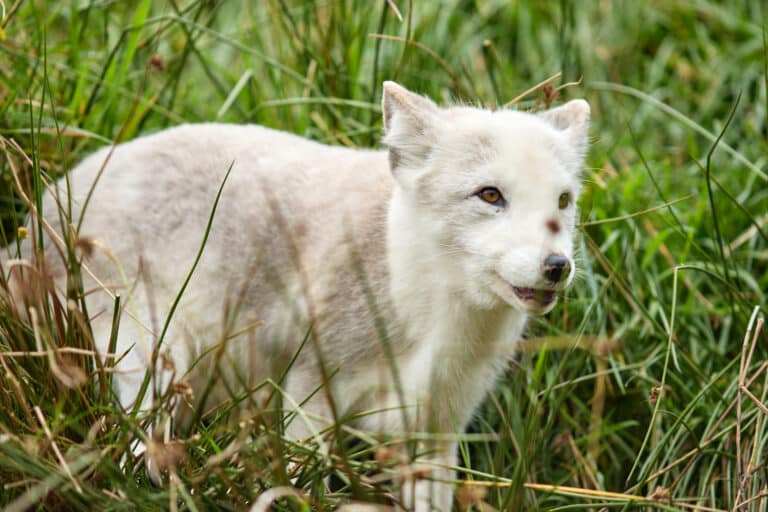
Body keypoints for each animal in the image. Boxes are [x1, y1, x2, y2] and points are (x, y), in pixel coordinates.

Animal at [10, 81, 590, 511]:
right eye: (490, 195)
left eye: (563, 201)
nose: (557, 267)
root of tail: (46, 207)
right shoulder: (311, 394)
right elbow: (297, 478)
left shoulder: (436, 430)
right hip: (157, 360)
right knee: (131, 447)